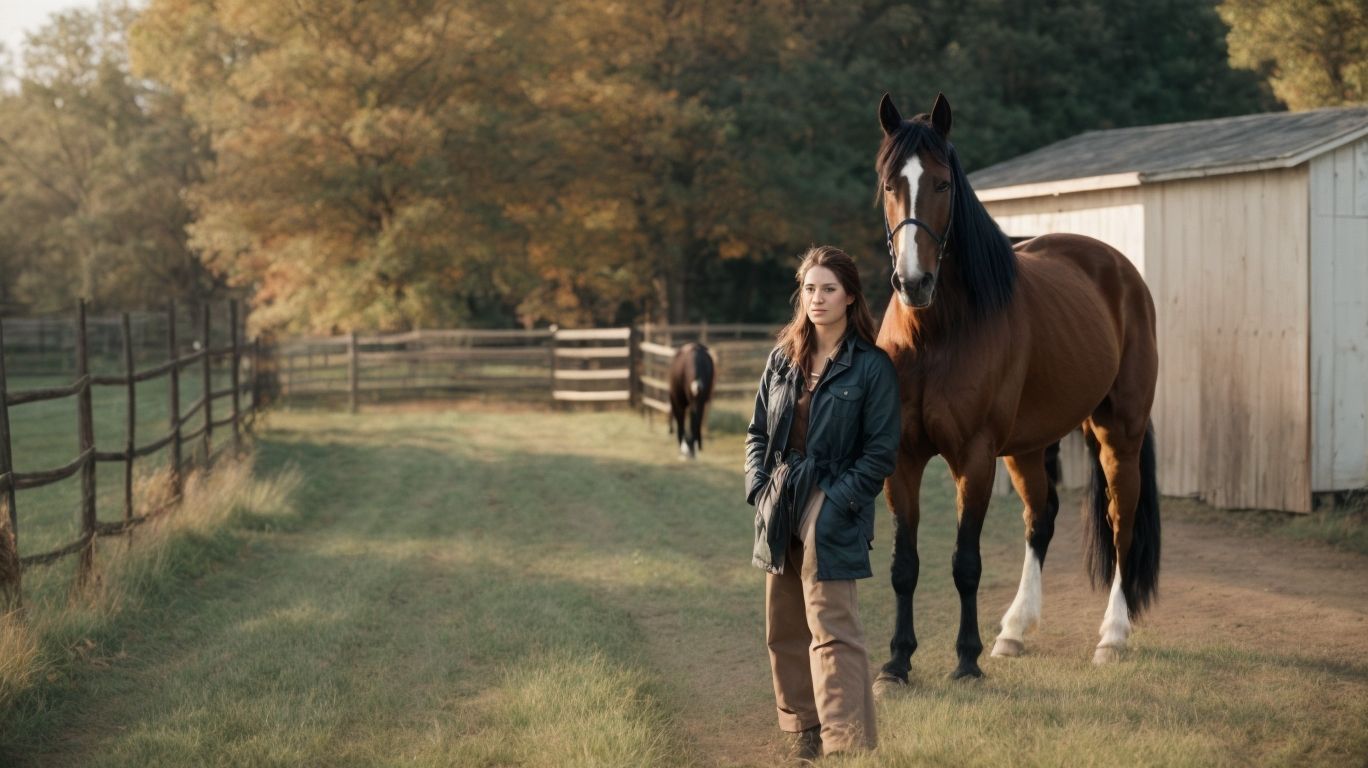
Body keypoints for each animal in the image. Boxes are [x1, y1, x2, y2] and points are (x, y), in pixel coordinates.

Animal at [873, 92, 1161, 684]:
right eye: (889, 183)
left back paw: (1112, 636)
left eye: (943, 183)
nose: (914, 283)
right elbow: (904, 565)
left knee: (1121, 521)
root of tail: (1122, 271)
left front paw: (966, 660)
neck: (935, 336)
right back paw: (1014, 630)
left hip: (1118, 434)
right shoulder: (903, 459)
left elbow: (965, 562)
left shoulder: (975, 457)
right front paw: (897, 662)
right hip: (1029, 446)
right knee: (1041, 519)